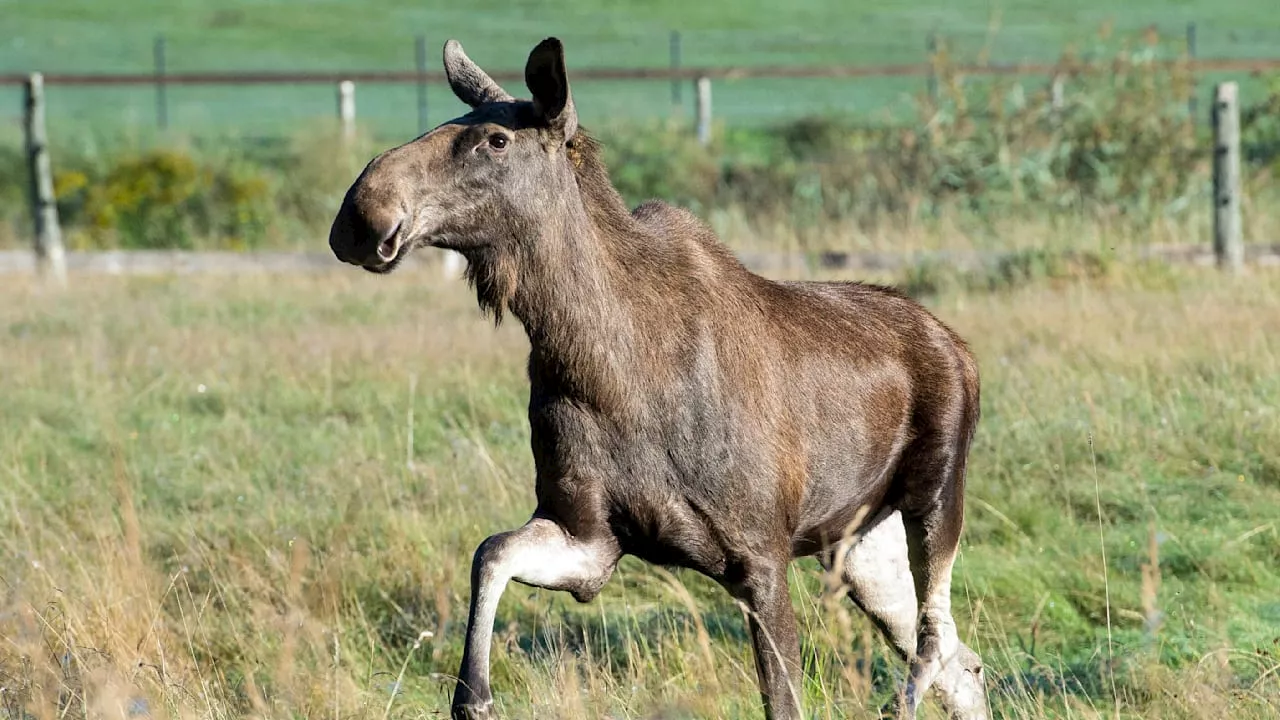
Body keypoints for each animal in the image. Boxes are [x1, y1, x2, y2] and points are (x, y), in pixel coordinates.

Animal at [330, 36, 988, 717]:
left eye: (496, 139)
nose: (360, 215)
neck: (596, 363)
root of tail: (957, 346)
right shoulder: (590, 540)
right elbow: (490, 551)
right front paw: (474, 695)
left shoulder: (760, 557)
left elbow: (784, 700)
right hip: (859, 545)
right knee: (960, 659)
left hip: (936, 494)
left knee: (935, 643)